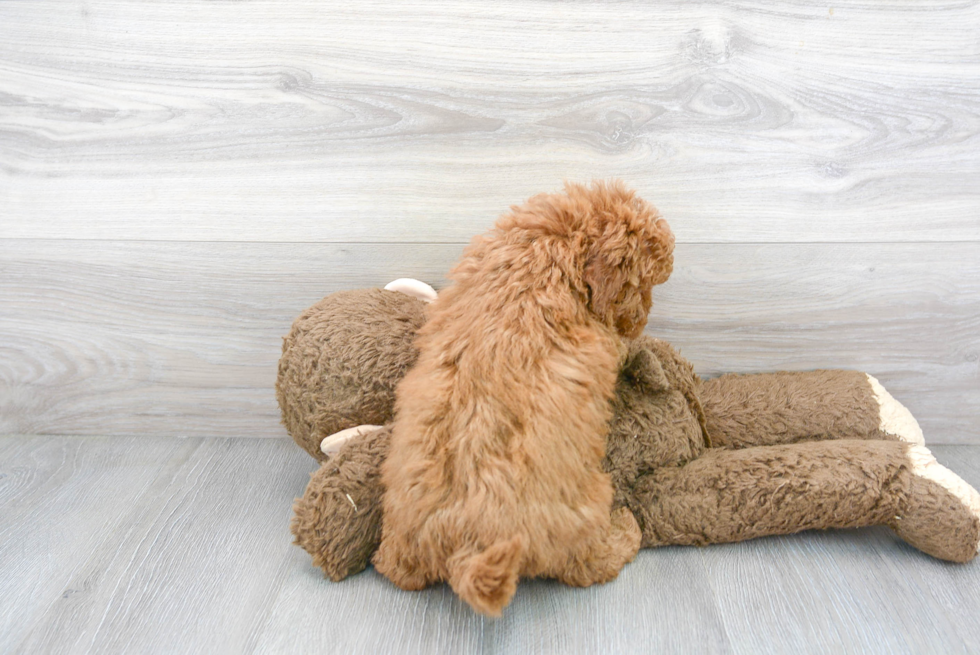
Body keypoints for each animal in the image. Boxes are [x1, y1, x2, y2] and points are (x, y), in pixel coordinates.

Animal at [372, 179, 676, 616]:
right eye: (640, 286)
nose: (643, 321)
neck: (547, 246)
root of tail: (470, 548)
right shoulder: (605, 339)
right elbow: (619, 348)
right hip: (585, 511)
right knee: (592, 564)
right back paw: (626, 527)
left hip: (404, 532)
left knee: (397, 569)